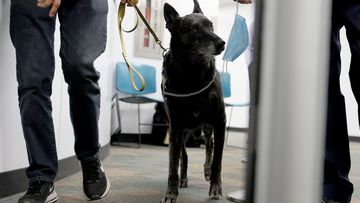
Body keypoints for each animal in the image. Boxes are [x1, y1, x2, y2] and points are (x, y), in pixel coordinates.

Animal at [162, 0, 226, 202]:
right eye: (194, 30)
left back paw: (206, 170)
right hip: (183, 131)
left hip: (207, 125)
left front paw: (215, 187)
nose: (222, 43)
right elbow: (173, 164)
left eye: (210, 25)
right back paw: (183, 179)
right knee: (184, 156)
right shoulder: (176, 127)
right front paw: (171, 193)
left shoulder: (219, 122)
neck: (193, 73)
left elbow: (217, 161)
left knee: (210, 145)